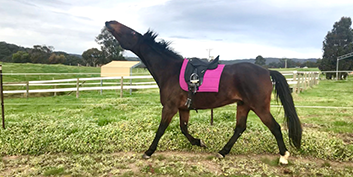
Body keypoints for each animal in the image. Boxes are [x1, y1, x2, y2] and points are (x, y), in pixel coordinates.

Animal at [106, 20, 302, 165]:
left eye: (132, 33)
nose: (109, 22)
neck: (170, 70)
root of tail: (266, 71)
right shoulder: (183, 108)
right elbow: (184, 129)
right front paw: (199, 142)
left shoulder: (169, 108)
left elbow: (161, 129)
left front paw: (149, 151)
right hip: (243, 105)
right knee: (240, 128)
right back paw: (222, 152)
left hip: (259, 107)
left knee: (275, 127)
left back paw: (283, 156)